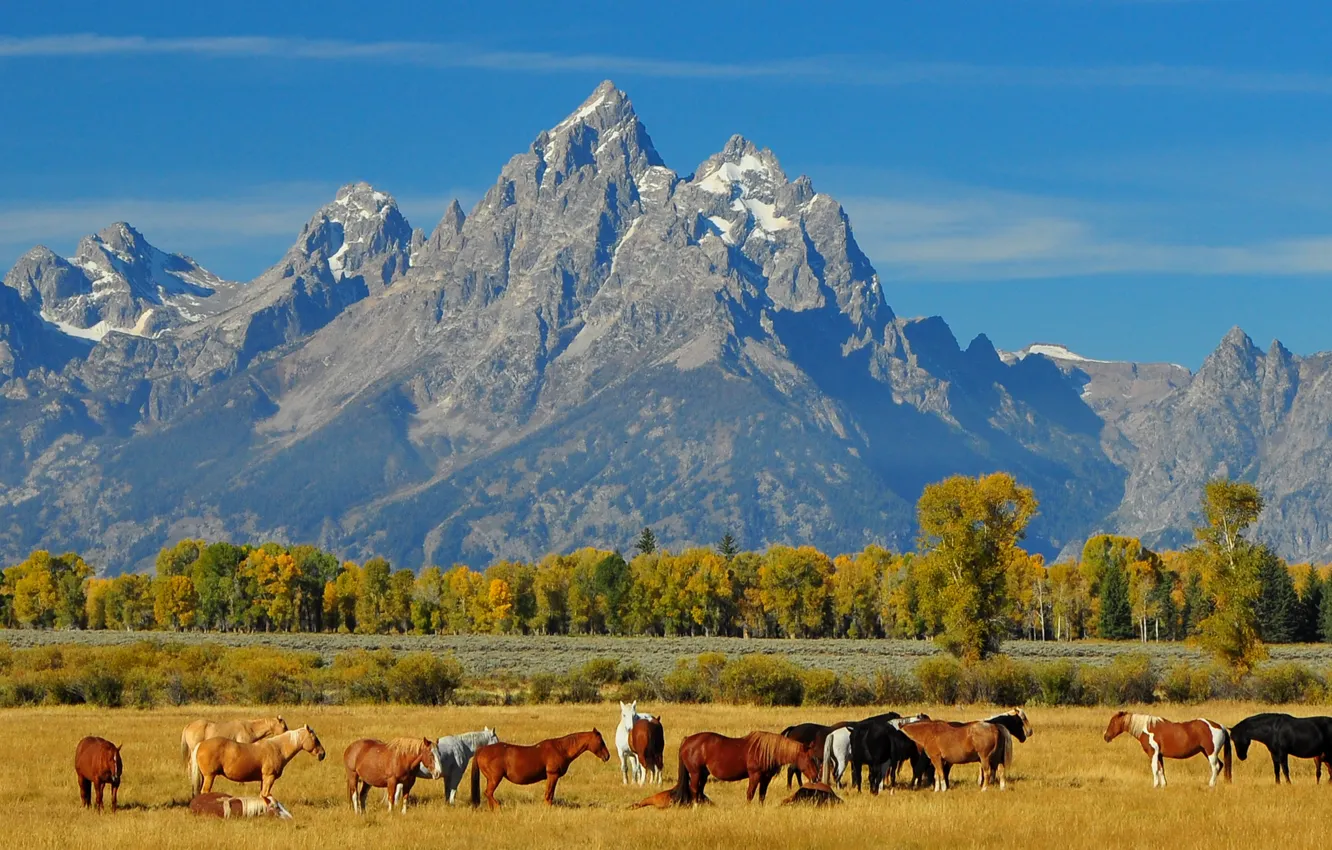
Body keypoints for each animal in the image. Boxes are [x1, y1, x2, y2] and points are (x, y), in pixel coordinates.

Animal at [191, 724, 326, 797]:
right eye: (315, 739)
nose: (322, 754)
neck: (278, 748)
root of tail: (200, 744)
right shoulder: (269, 777)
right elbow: (266, 794)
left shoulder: (263, 779)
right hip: (209, 776)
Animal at [470, 729, 610, 810]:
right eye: (601, 742)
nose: (607, 756)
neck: (561, 749)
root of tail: (481, 750)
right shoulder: (552, 775)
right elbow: (549, 794)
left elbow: (550, 794)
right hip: (495, 778)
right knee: (488, 793)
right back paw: (498, 807)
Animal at [668, 731, 821, 805]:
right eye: (810, 759)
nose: (816, 777)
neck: (766, 751)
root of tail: (687, 740)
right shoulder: (755, 775)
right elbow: (750, 794)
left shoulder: (766, 778)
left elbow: (762, 795)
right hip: (695, 773)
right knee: (694, 790)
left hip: (704, 774)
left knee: (699, 790)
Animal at [1103, 711, 1231, 788]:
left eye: (1113, 722)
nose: (1106, 737)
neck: (1147, 729)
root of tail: (1221, 727)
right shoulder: (1159, 755)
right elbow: (1161, 770)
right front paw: (1163, 785)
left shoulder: (1153, 753)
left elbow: (1155, 769)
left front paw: (1155, 785)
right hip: (1206, 752)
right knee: (1220, 765)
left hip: (1211, 753)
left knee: (1215, 767)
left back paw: (1211, 785)